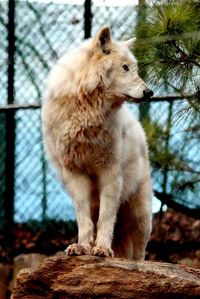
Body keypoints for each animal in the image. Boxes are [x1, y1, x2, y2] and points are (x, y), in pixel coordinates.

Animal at [42, 26, 153, 260]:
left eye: (135, 69)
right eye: (125, 68)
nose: (150, 93)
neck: (87, 113)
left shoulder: (110, 172)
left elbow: (106, 218)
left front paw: (102, 248)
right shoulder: (74, 173)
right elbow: (84, 220)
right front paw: (82, 247)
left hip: (140, 217)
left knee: (140, 253)